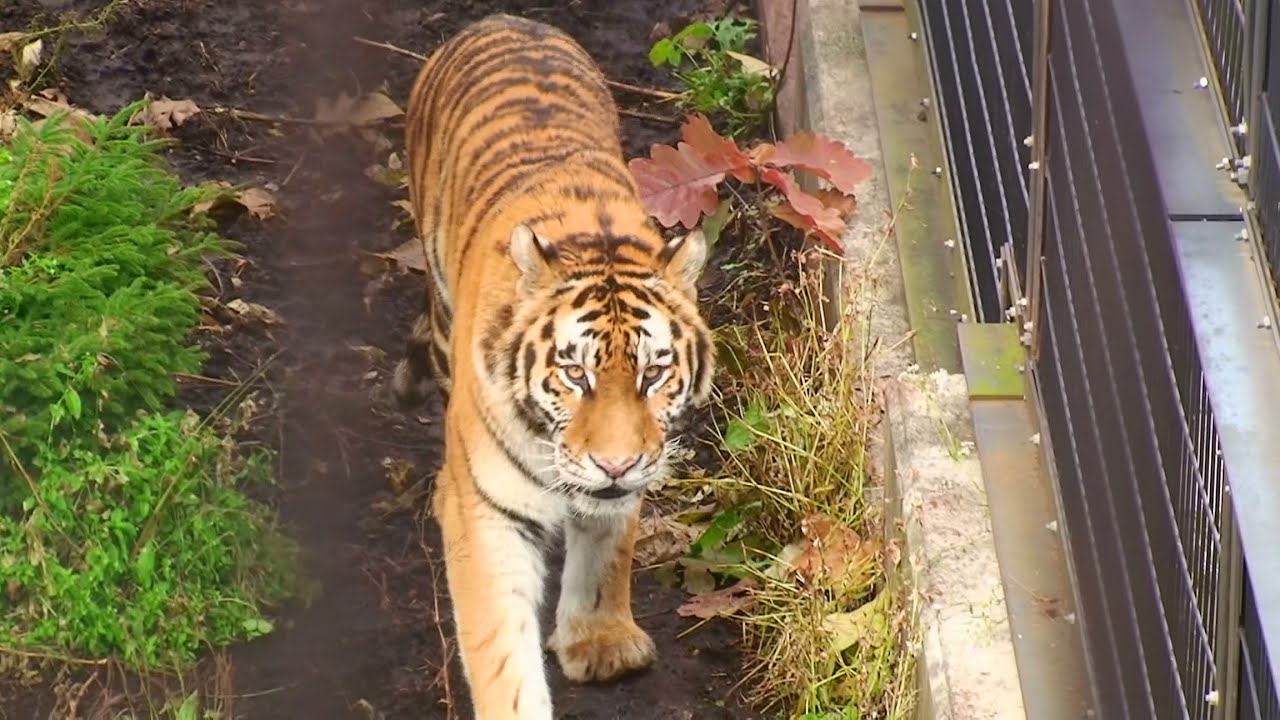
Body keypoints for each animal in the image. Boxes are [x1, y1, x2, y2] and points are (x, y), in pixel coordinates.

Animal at [390, 14, 716, 720]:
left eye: (654, 374)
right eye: (574, 373)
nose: (615, 464)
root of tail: (506, 19)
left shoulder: (628, 479)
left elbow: (609, 545)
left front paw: (600, 641)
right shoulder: (489, 510)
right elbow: (500, 646)